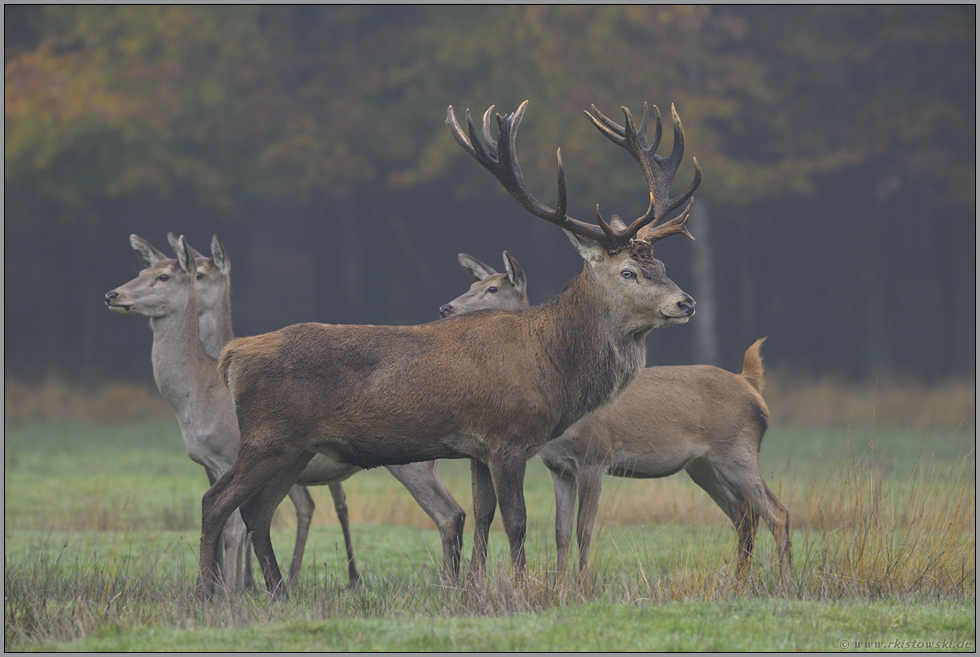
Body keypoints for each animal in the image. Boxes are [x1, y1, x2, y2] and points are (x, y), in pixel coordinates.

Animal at [199, 100, 700, 596]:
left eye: (662, 265)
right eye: (628, 272)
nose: (686, 302)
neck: (551, 365)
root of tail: (232, 356)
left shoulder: (476, 447)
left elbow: (482, 515)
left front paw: (474, 586)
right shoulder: (507, 437)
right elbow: (516, 520)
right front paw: (520, 588)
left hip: (297, 446)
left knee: (257, 512)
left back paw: (278, 591)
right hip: (268, 436)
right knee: (215, 500)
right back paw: (208, 591)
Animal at [440, 251, 792, 584]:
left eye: (492, 288)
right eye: (471, 285)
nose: (446, 308)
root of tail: (750, 383)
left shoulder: (596, 455)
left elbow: (584, 528)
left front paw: (581, 586)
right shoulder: (558, 466)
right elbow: (560, 532)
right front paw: (557, 588)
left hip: (737, 451)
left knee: (778, 513)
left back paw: (783, 582)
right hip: (703, 465)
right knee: (745, 516)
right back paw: (738, 582)